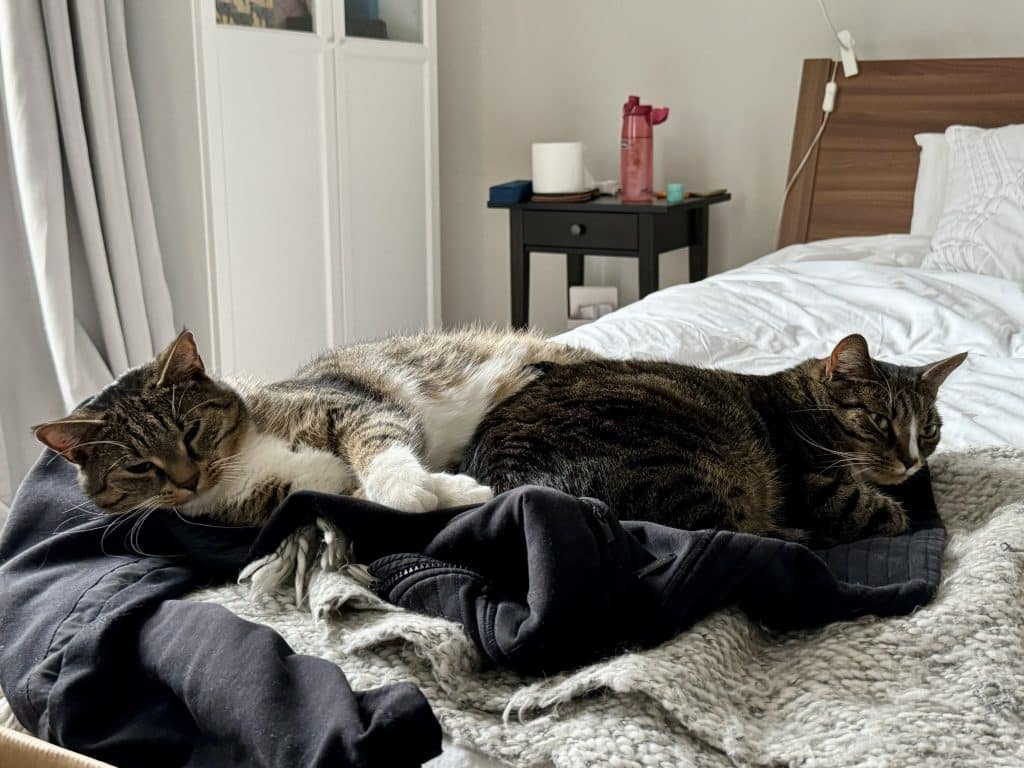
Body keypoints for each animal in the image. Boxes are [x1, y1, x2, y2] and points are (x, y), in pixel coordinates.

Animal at [464, 335, 966, 548]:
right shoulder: (813, 487)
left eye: (928, 429)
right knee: (724, 532)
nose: (912, 461)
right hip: (686, 470)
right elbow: (882, 510)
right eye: (880, 421)